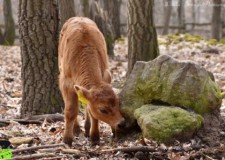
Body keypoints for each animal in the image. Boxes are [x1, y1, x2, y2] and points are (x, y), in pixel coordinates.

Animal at [58, 16, 125, 146]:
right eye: (103, 109)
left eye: (118, 102)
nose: (121, 123)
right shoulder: (66, 82)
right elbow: (70, 110)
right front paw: (67, 139)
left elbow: (92, 111)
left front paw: (95, 137)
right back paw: (77, 129)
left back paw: (87, 128)